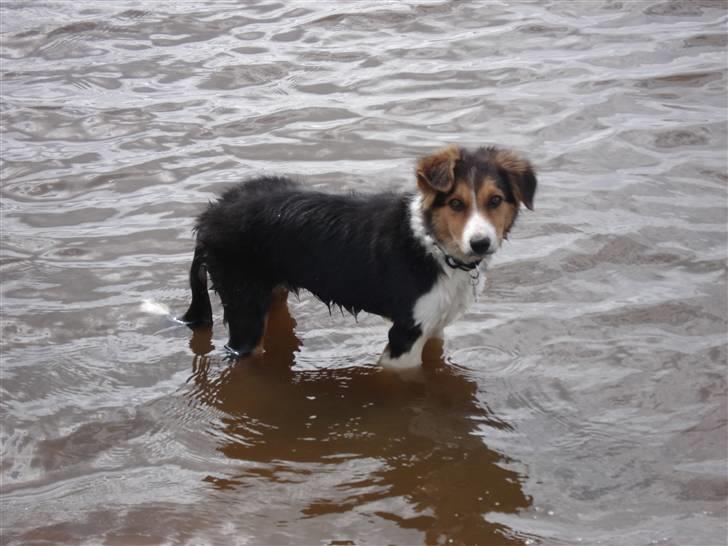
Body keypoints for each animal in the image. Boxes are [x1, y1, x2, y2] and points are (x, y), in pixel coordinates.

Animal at [182, 143, 536, 366]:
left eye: (495, 200)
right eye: (456, 203)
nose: (480, 243)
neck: (434, 247)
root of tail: (208, 217)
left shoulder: (434, 326)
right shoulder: (405, 334)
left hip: (273, 293)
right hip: (245, 310)